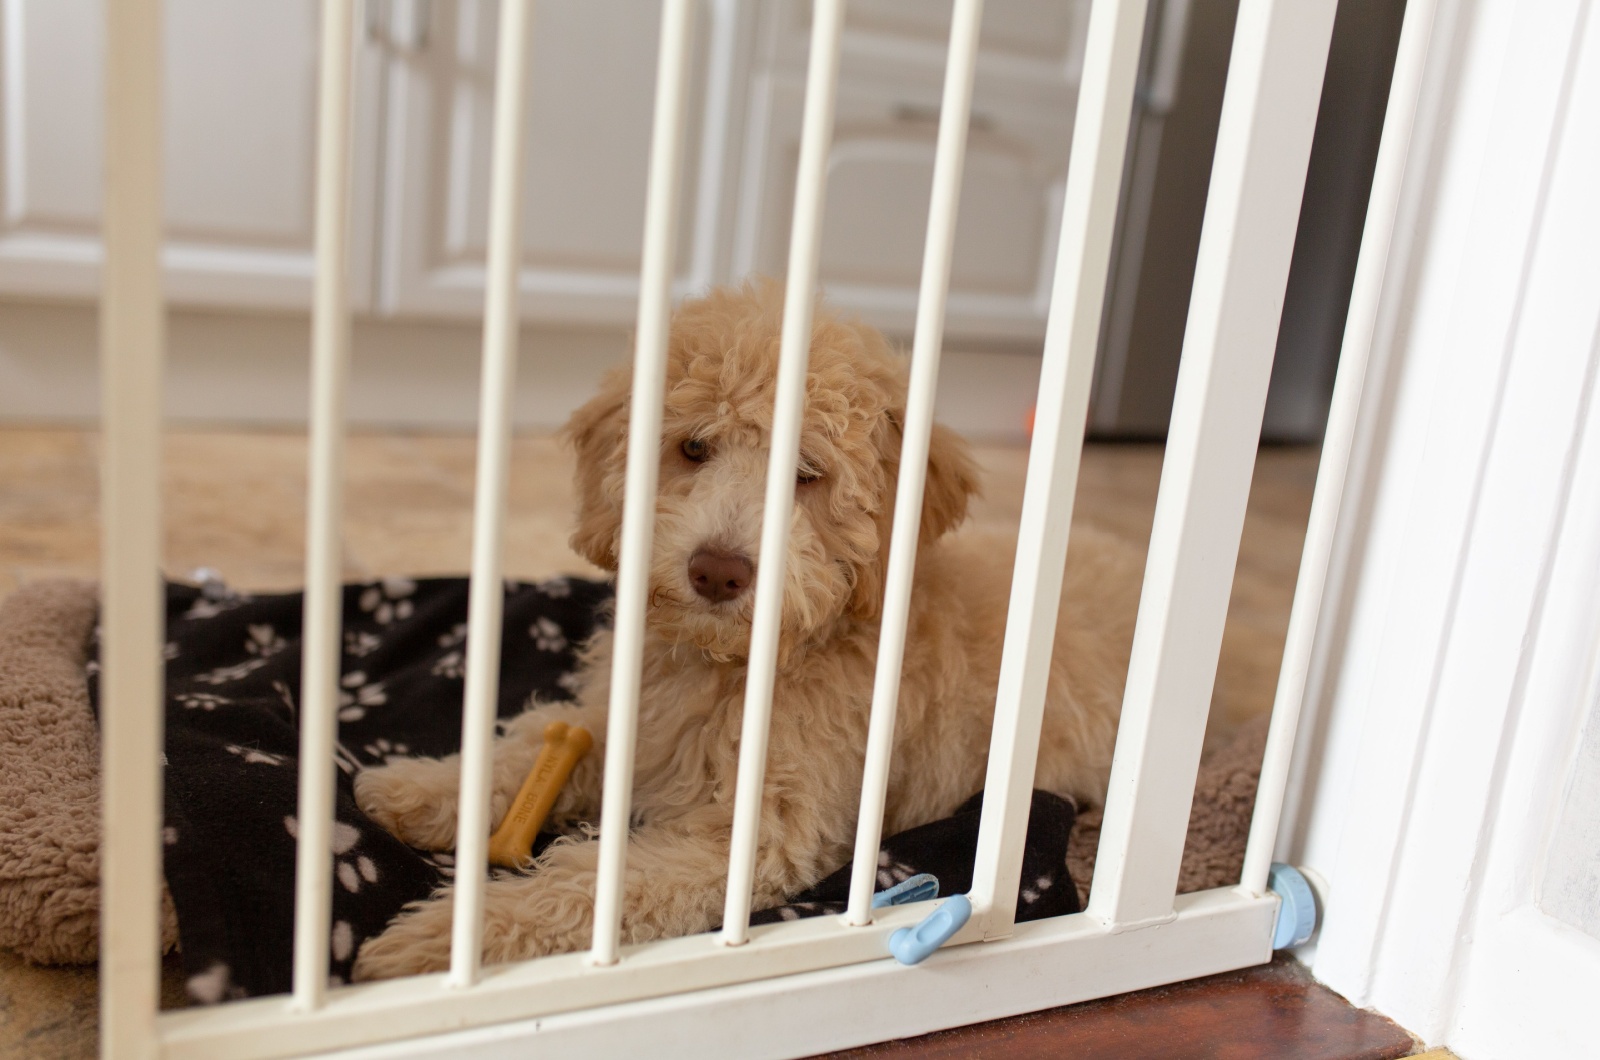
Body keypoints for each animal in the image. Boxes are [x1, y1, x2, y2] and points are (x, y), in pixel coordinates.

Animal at [356, 280, 1145, 979]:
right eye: (694, 448)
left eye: (807, 473)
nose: (717, 571)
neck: (735, 664)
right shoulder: (634, 722)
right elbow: (532, 745)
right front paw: (417, 789)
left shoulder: (757, 837)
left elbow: (587, 884)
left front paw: (439, 944)